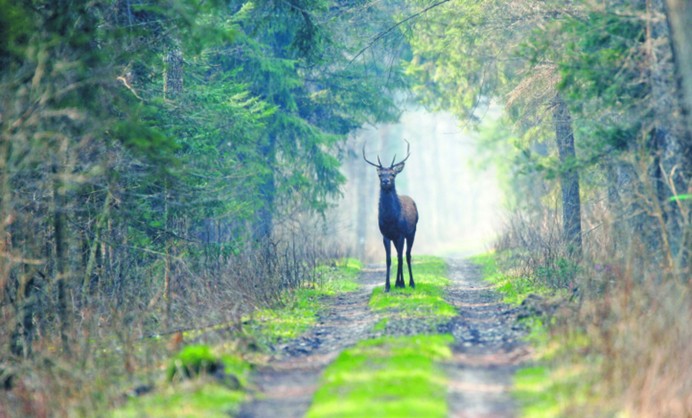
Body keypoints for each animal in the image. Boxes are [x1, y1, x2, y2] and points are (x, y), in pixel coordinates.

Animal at [364, 139, 418, 292]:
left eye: (393, 174)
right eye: (380, 175)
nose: (386, 181)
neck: (390, 219)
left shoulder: (400, 234)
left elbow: (400, 257)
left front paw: (402, 283)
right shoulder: (386, 235)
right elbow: (388, 259)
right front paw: (387, 285)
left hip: (412, 232)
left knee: (407, 255)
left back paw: (411, 282)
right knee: (400, 255)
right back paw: (398, 282)